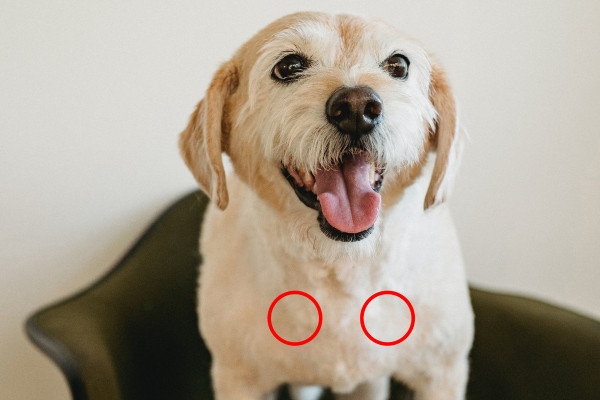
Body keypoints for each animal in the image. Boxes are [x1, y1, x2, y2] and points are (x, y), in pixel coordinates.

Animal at [178, 10, 474, 398]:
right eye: (289, 66)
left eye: (398, 64)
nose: (357, 107)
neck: (340, 267)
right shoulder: (238, 379)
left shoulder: (442, 372)